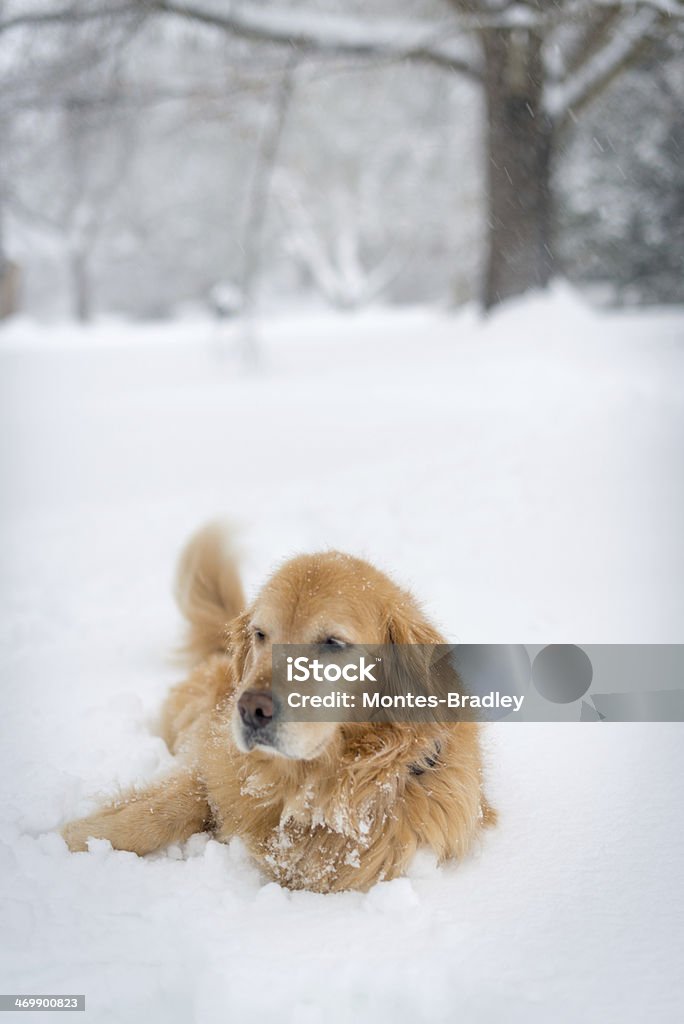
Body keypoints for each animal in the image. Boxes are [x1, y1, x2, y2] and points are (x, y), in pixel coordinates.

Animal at [61, 524, 493, 892]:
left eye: (333, 643)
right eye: (261, 634)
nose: (250, 709)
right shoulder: (212, 769)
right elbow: (158, 813)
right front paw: (68, 838)